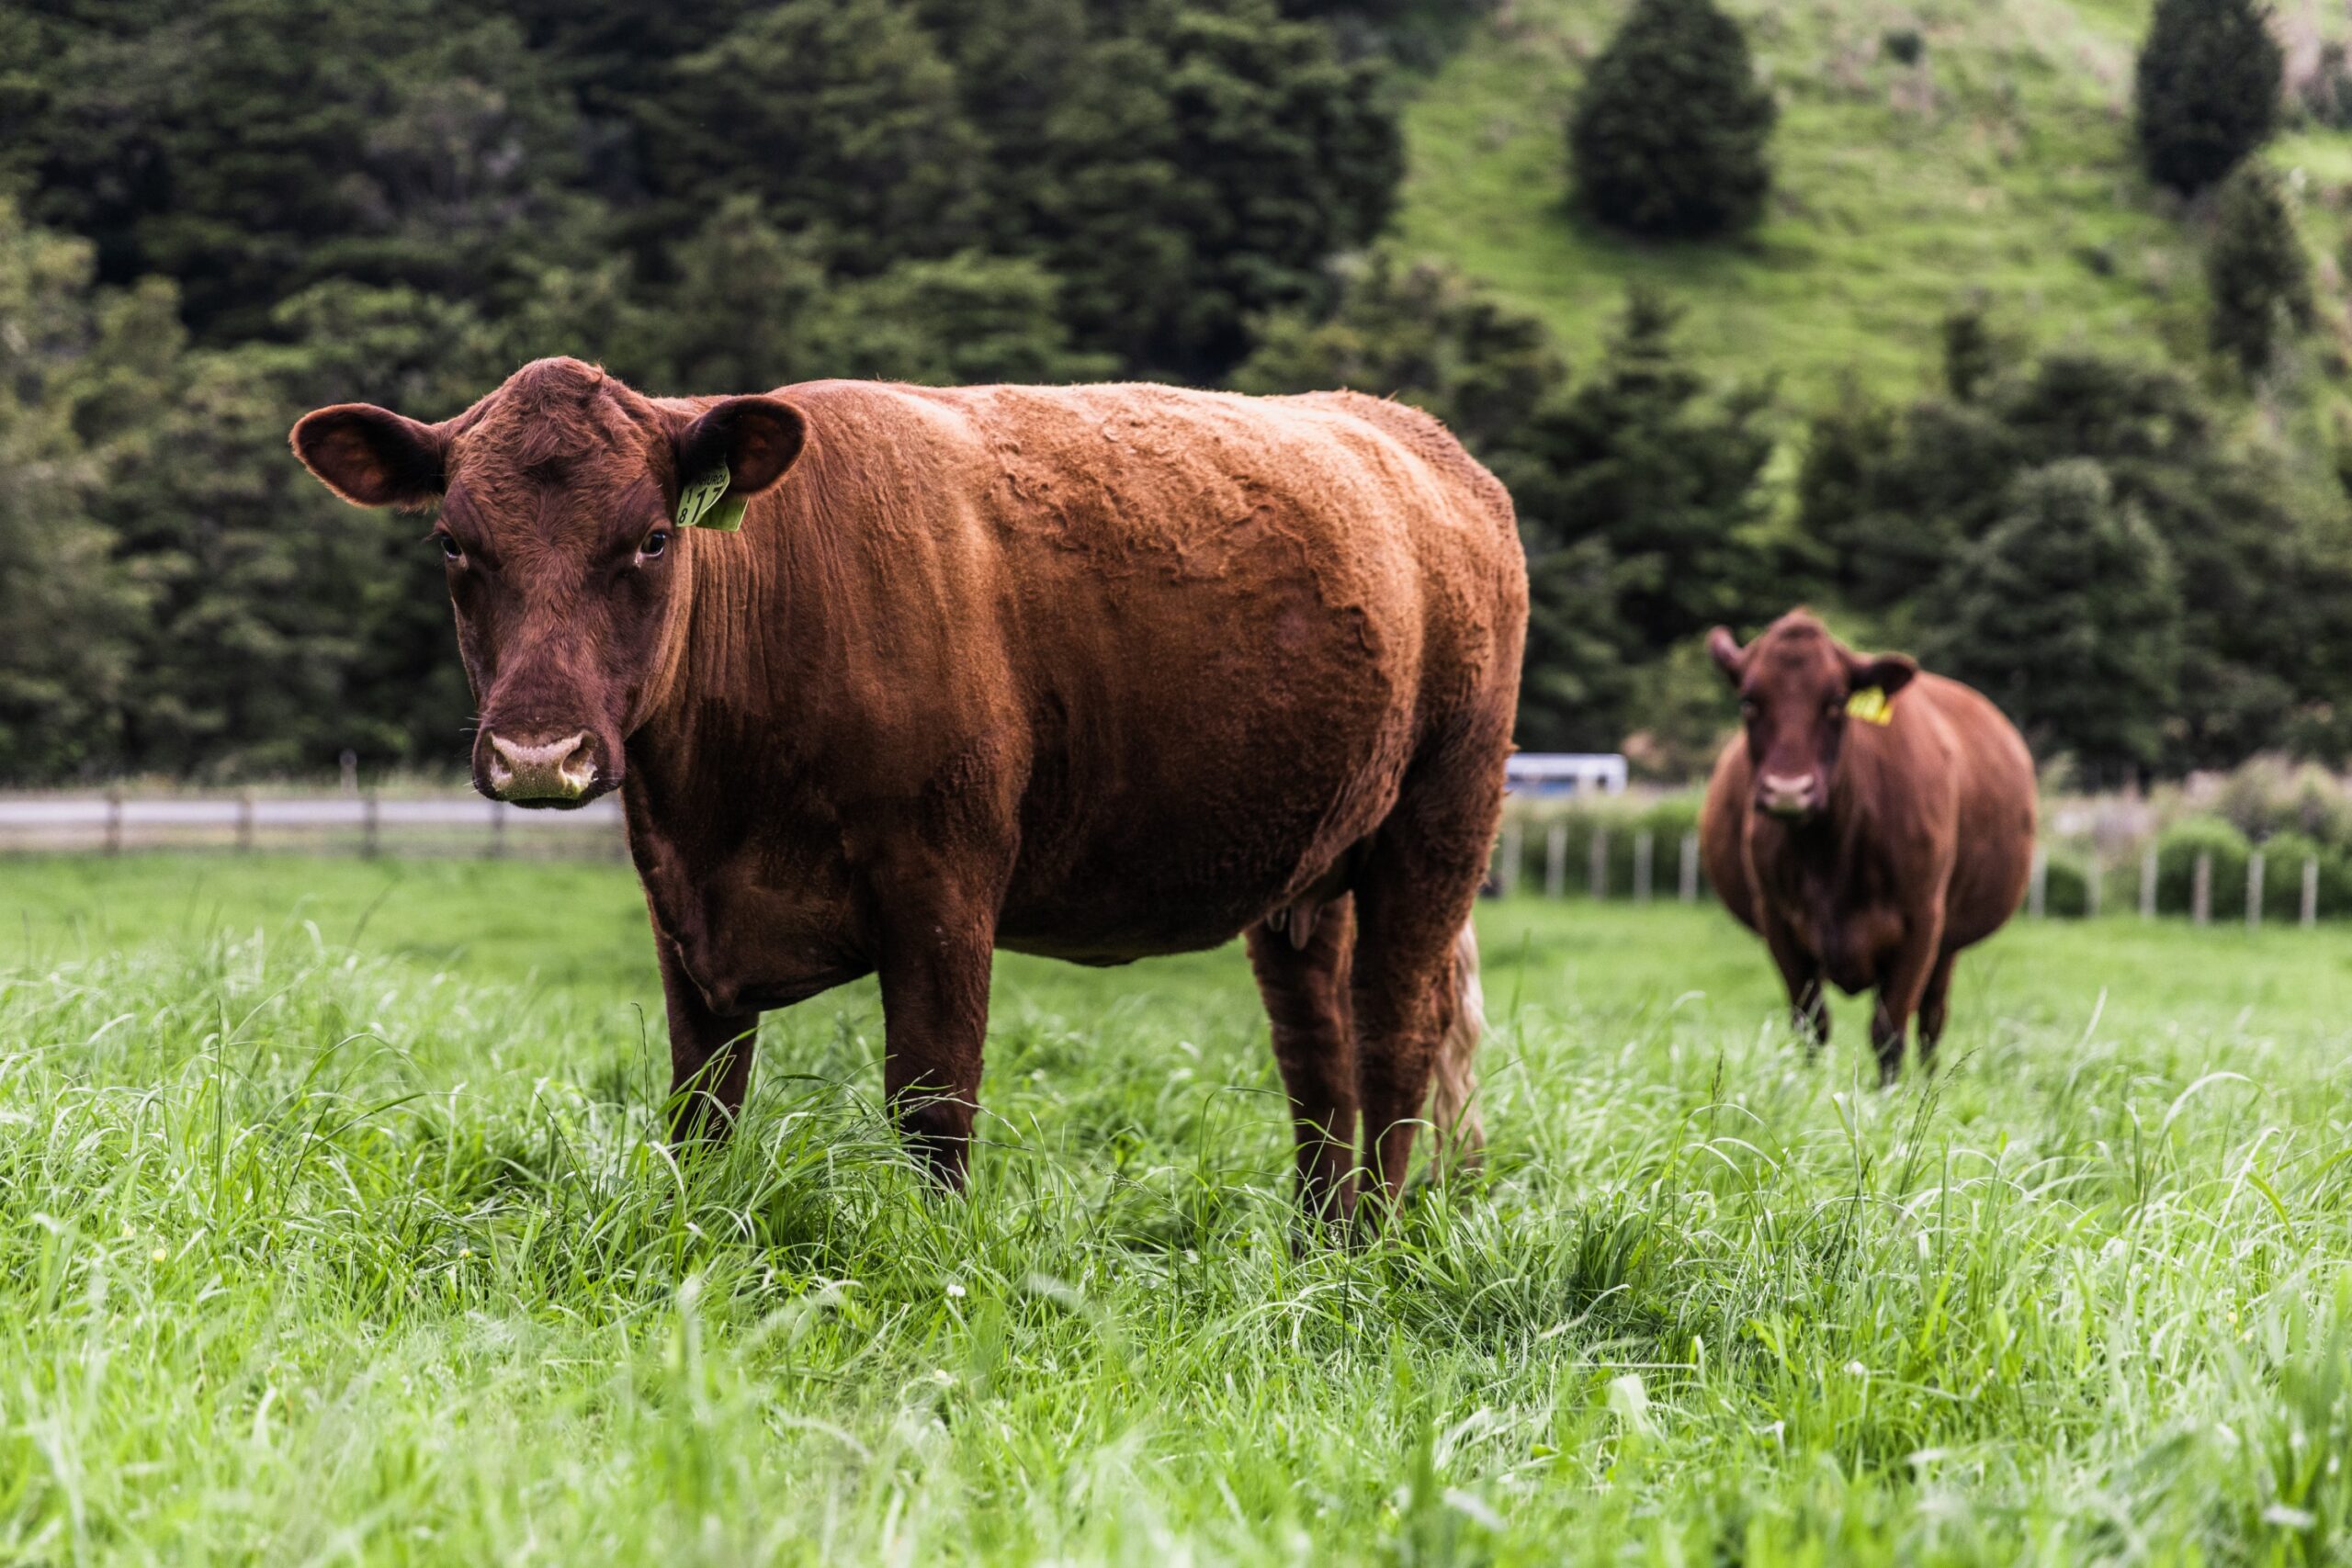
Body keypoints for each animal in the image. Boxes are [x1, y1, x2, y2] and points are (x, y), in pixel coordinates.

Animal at [290, 359, 1527, 1221]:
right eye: (452, 543)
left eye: (648, 539)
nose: (540, 754)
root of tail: (1401, 427)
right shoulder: (679, 900)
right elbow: (703, 1106)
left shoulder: (943, 882)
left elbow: (932, 1104)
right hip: (1306, 867)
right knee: (1317, 1057)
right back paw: (1314, 1247)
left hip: (1441, 818)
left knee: (1395, 1037)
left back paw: (1372, 1250)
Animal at [1698, 610, 2035, 1082]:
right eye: (1749, 700)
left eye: (1837, 700)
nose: (1788, 791)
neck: (1831, 852)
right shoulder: (1778, 921)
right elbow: (1811, 1024)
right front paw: (1807, 1087)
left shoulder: (1922, 922)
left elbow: (1889, 1030)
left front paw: (1888, 1094)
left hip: (1948, 941)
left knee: (1932, 1017)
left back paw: (1930, 1082)